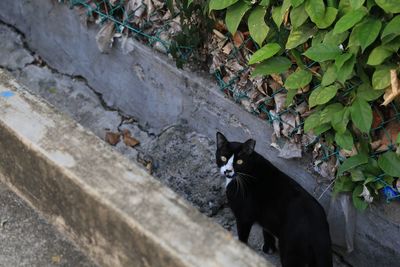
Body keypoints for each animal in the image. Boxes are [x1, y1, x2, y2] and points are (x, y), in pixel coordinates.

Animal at [217, 133, 332, 266]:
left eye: (240, 162)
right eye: (223, 158)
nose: (227, 171)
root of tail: (319, 230)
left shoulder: (243, 216)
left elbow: (243, 237)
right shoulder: (267, 216)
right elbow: (267, 230)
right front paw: (269, 248)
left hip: (292, 251)